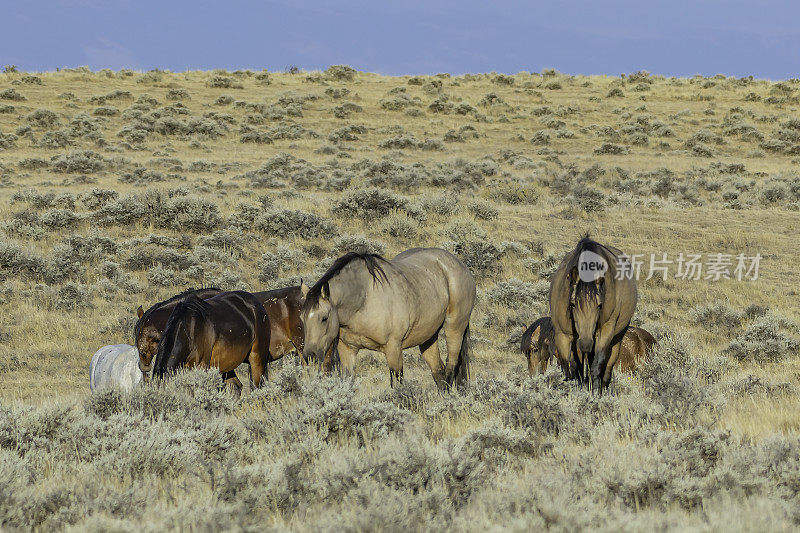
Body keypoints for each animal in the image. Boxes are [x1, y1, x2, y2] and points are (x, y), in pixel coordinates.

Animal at [300, 247, 476, 388]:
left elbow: (397, 383)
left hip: (454, 328)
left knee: (451, 368)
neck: (364, 298)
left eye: (324, 318)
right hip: (428, 337)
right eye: (302, 318)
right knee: (438, 372)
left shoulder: (393, 348)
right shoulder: (347, 350)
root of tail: (458, 264)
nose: (309, 356)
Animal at [552, 235, 636, 392]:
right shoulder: (563, 335)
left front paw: (595, 393)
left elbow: (597, 367)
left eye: (599, 305)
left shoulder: (605, 332)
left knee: (606, 370)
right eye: (572, 304)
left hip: (616, 339)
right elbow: (570, 371)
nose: (585, 344)